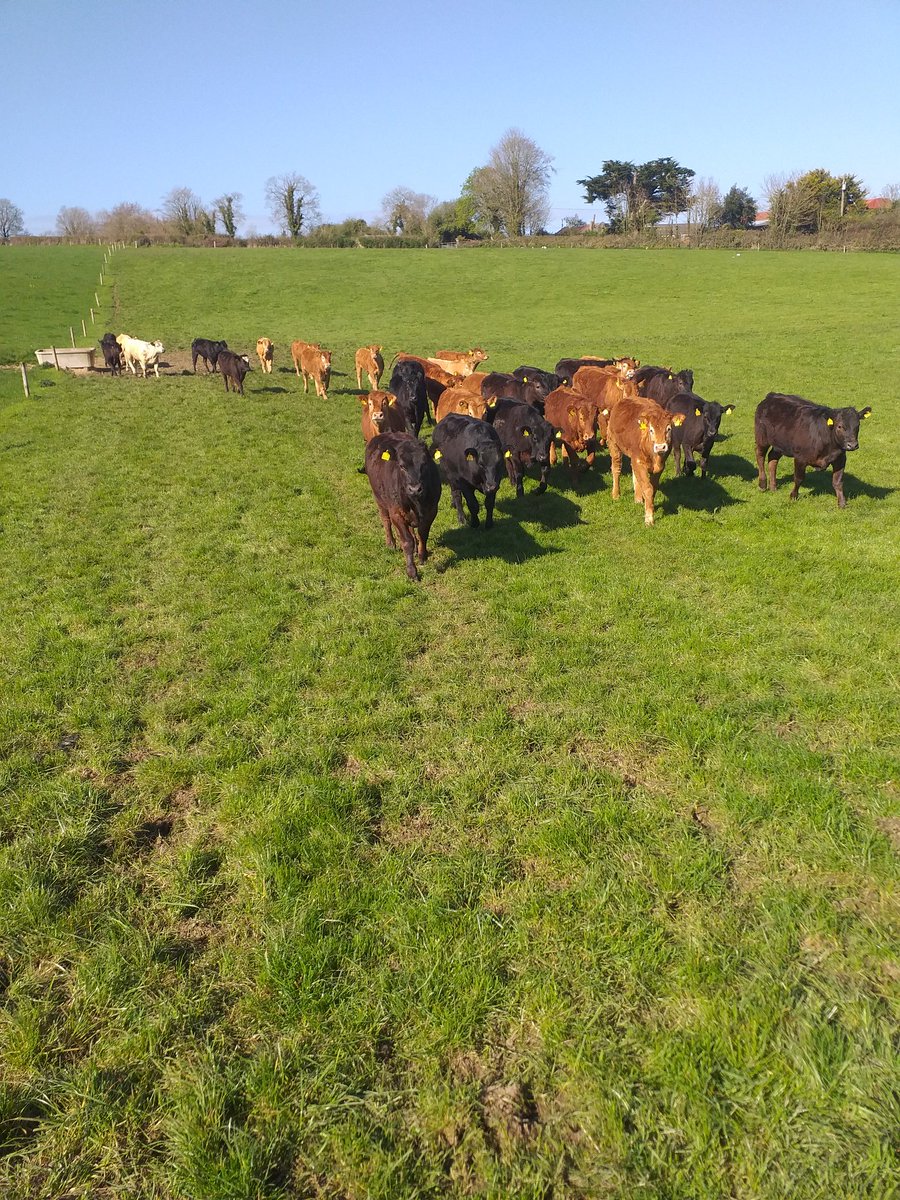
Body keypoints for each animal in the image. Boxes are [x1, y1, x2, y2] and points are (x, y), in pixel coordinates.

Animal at [365, 432, 441, 581]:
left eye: (424, 464)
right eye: (402, 466)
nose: (415, 489)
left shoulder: (431, 511)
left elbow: (423, 534)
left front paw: (422, 556)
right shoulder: (396, 514)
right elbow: (407, 541)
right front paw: (412, 572)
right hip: (379, 499)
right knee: (386, 521)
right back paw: (391, 543)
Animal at [606, 397, 684, 526]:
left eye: (668, 429)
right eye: (651, 430)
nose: (660, 447)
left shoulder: (659, 467)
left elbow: (653, 487)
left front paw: (650, 506)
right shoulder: (639, 462)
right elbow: (648, 488)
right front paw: (649, 518)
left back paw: (638, 499)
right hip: (613, 444)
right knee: (616, 469)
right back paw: (616, 494)